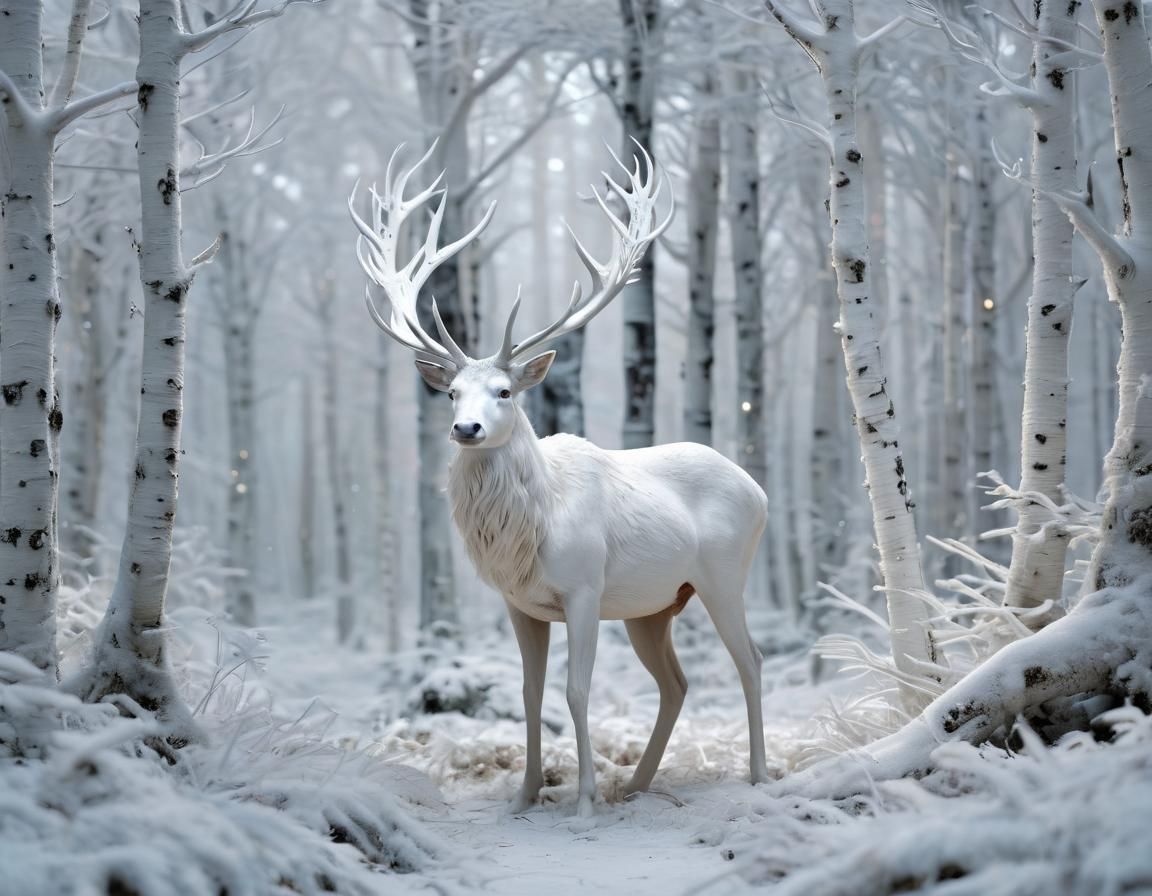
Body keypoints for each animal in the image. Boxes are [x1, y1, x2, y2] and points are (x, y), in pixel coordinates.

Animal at [349, 141, 769, 818]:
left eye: (504, 391)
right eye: (451, 393)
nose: (465, 428)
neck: (529, 532)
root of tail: (758, 489)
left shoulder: (584, 588)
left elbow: (576, 691)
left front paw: (584, 801)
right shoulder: (521, 604)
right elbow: (529, 694)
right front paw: (524, 796)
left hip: (723, 573)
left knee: (750, 661)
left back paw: (755, 775)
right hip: (655, 604)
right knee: (675, 683)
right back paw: (639, 783)